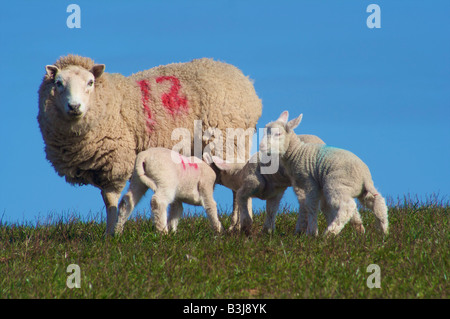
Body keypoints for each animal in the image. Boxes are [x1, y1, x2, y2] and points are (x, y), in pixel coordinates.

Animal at [38, 54, 264, 235]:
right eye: (58, 83)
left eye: (90, 82)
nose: (74, 106)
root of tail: (245, 81)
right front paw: (112, 232)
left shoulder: (115, 161)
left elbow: (111, 201)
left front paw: (110, 234)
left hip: (229, 141)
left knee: (238, 185)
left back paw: (238, 224)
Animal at [256, 111, 390, 236]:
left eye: (278, 134)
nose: (261, 146)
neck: (296, 152)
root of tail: (364, 176)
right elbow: (318, 207)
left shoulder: (309, 182)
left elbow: (311, 206)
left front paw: (312, 233)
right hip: (362, 190)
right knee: (378, 202)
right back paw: (383, 231)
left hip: (337, 183)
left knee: (347, 206)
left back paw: (329, 233)